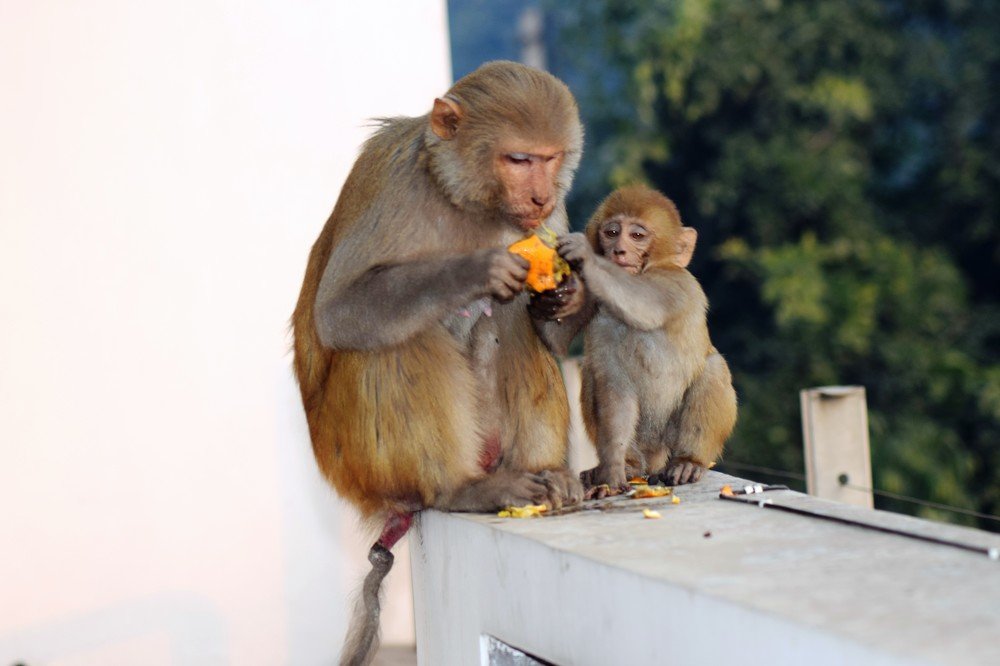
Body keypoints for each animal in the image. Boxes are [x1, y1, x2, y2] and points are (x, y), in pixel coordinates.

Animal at [290, 61, 586, 665]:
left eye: (550, 157)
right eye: (518, 159)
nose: (542, 196)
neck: (464, 199)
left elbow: (542, 319)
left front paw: (563, 296)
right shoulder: (395, 185)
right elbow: (340, 312)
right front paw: (477, 270)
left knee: (510, 323)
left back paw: (545, 472)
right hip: (361, 462)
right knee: (396, 340)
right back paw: (458, 489)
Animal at [557, 185, 737, 495]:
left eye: (637, 236)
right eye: (612, 232)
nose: (619, 251)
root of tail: (654, 460)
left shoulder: (675, 284)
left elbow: (647, 303)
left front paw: (586, 259)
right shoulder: (601, 320)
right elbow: (614, 386)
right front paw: (612, 470)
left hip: (669, 441)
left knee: (713, 367)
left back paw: (688, 461)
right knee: (593, 374)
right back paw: (628, 465)